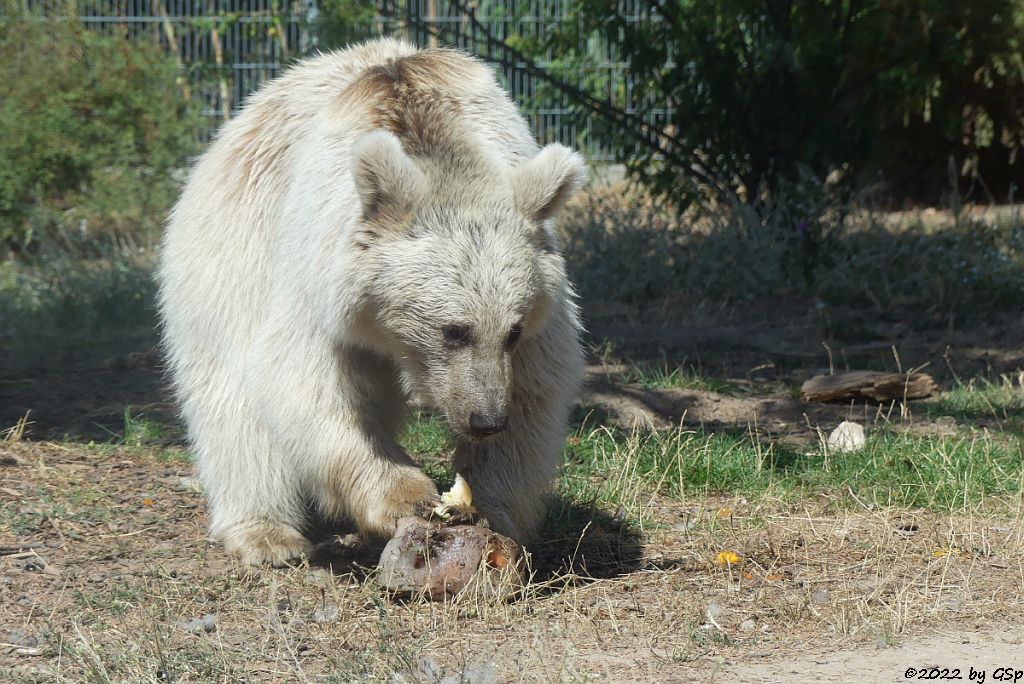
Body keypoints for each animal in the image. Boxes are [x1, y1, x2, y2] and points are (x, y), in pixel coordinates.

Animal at [152, 40, 585, 569]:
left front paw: (486, 506)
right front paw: (405, 496)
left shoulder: (542, 312)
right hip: (233, 243)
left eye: (513, 331)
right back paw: (266, 534)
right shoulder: (318, 274)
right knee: (231, 392)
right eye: (453, 330)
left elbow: (535, 390)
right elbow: (304, 380)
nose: (485, 419)